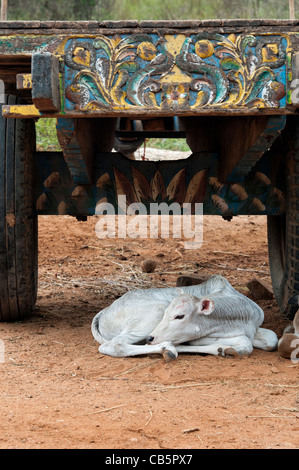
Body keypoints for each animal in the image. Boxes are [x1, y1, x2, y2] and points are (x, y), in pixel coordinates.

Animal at [92, 276, 278, 360]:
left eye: (179, 316)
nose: (151, 337)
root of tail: (104, 311)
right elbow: (244, 342)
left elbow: (272, 339)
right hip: (152, 315)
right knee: (115, 345)